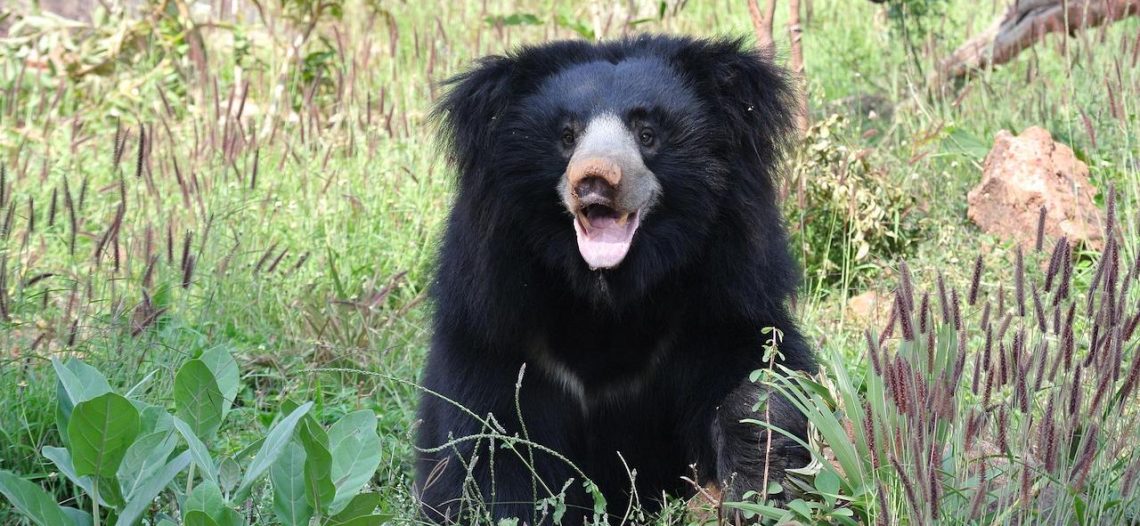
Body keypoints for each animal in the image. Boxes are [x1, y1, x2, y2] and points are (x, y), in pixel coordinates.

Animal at [415, 35, 815, 524]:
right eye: (567, 137)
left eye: (647, 134)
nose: (595, 180)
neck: (608, 292)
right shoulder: (494, 316)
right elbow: (489, 435)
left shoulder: (724, 292)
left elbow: (757, 378)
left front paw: (758, 485)